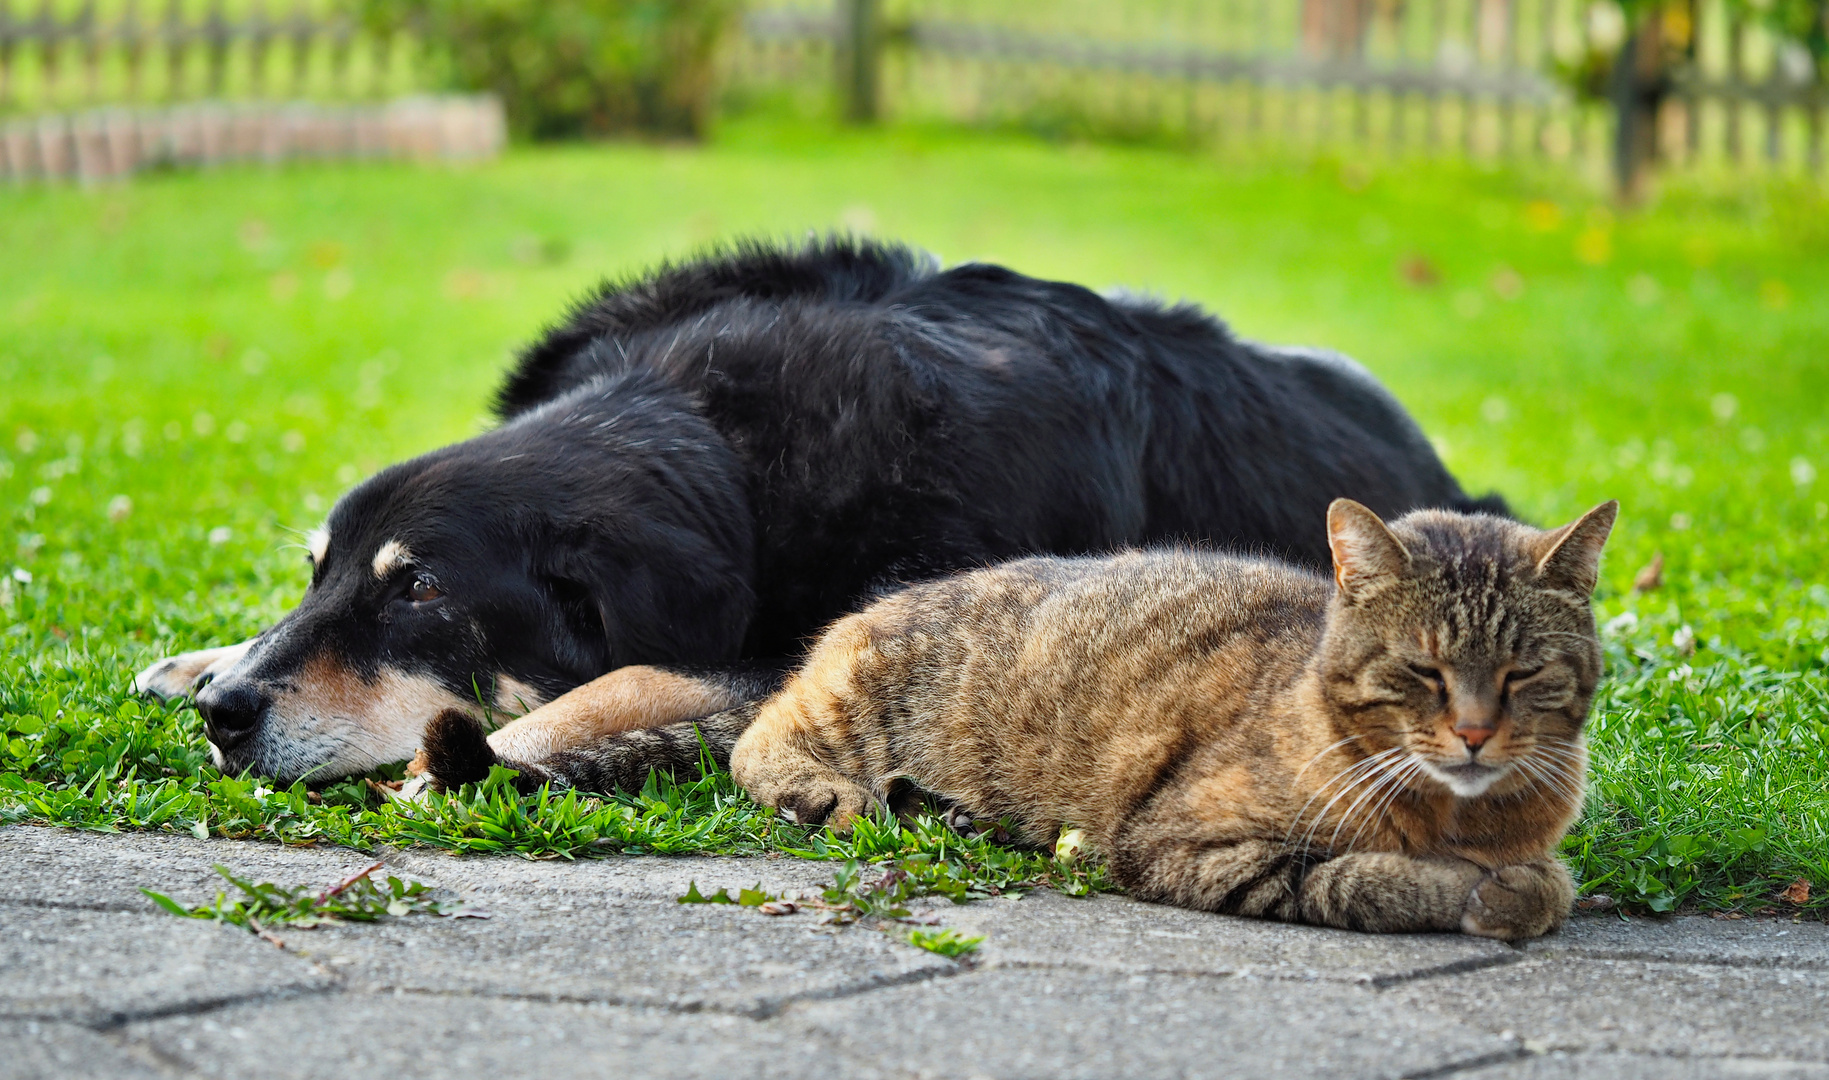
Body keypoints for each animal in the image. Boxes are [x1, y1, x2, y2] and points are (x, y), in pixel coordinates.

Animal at [139, 241, 1499, 790]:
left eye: (419, 589)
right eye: (316, 570)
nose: (228, 715)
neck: (726, 445)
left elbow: (646, 676)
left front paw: (508, 747)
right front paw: (206, 653)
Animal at [727, 497, 1616, 937]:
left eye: (1524, 672)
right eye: (1422, 670)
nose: (1474, 733)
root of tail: (878, 603)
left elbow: (1550, 883)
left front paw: (1516, 886)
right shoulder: (1182, 846)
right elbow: (1360, 880)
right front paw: (1471, 890)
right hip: (857, 705)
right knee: (758, 737)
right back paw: (834, 794)